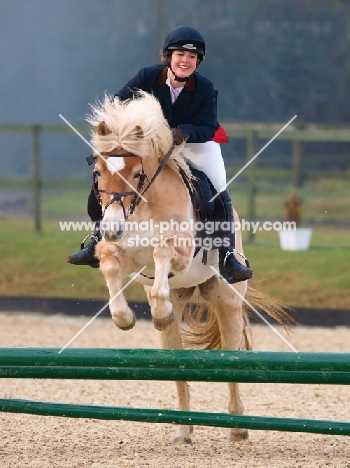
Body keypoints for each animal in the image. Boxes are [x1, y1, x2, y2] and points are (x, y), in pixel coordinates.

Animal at [87, 92, 288, 446]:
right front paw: (125, 317)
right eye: (98, 173)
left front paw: (157, 304)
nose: (111, 227)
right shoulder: (123, 254)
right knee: (177, 361)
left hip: (227, 299)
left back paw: (238, 427)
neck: (144, 205)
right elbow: (111, 264)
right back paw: (183, 429)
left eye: (137, 174)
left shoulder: (180, 251)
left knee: (231, 355)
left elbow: (162, 250)